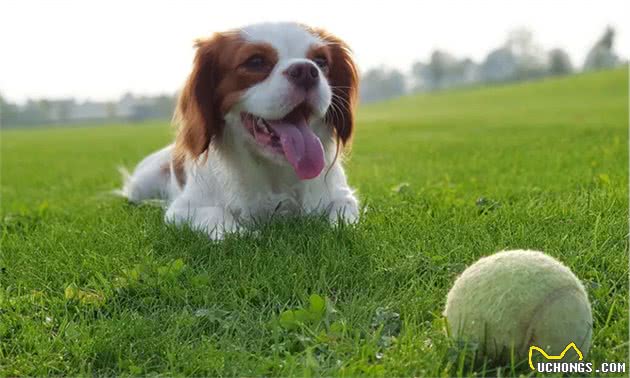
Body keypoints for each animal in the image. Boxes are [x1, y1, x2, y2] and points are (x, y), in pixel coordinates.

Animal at [122, 22, 360, 239]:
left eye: (321, 61)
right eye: (255, 61)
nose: (306, 71)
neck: (273, 171)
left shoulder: (343, 195)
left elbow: (343, 211)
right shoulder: (181, 209)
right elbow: (215, 213)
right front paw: (240, 234)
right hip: (141, 184)